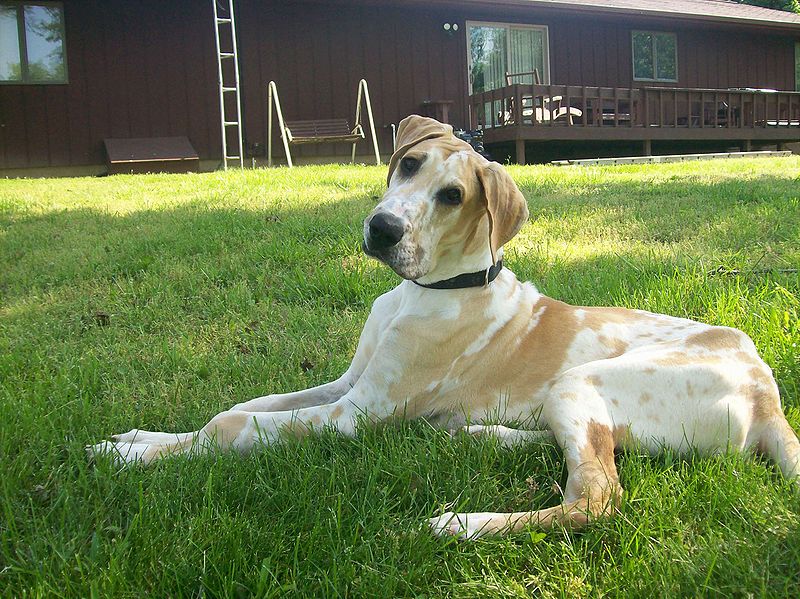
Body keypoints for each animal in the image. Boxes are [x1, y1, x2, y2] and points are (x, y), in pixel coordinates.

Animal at [89, 116, 800, 540]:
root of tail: (767, 395)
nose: (383, 231)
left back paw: (461, 523)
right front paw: (140, 438)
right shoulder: (347, 385)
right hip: (571, 401)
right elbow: (242, 407)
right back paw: (470, 436)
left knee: (595, 500)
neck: (425, 290)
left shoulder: (355, 414)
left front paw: (136, 456)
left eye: (453, 196)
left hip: (582, 381)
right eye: (408, 166)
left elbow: (233, 428)